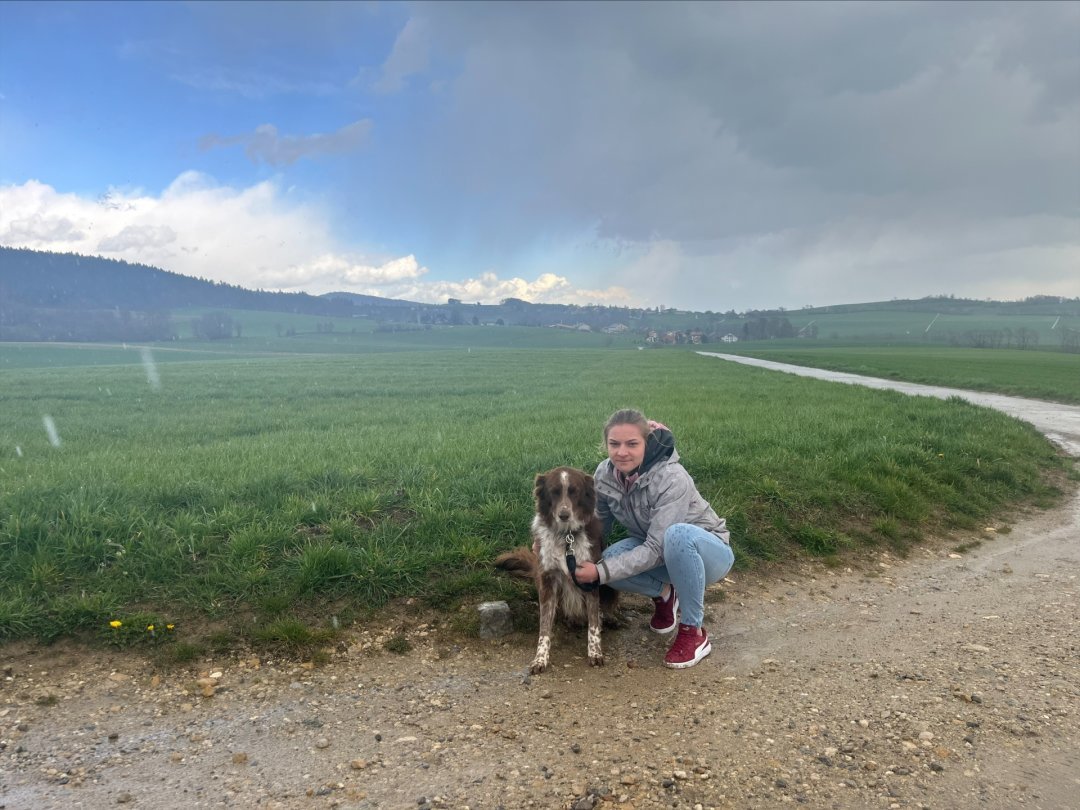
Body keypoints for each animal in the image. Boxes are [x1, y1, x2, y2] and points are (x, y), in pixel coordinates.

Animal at [492, 466, 613, 673]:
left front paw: (595, 652)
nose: (564, 515)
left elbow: (593, 625)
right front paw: (540, 659)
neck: (566, 536)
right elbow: (544, 627)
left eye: (574, 491)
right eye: (554, 492)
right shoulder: (547, 580)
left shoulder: (591, 577)